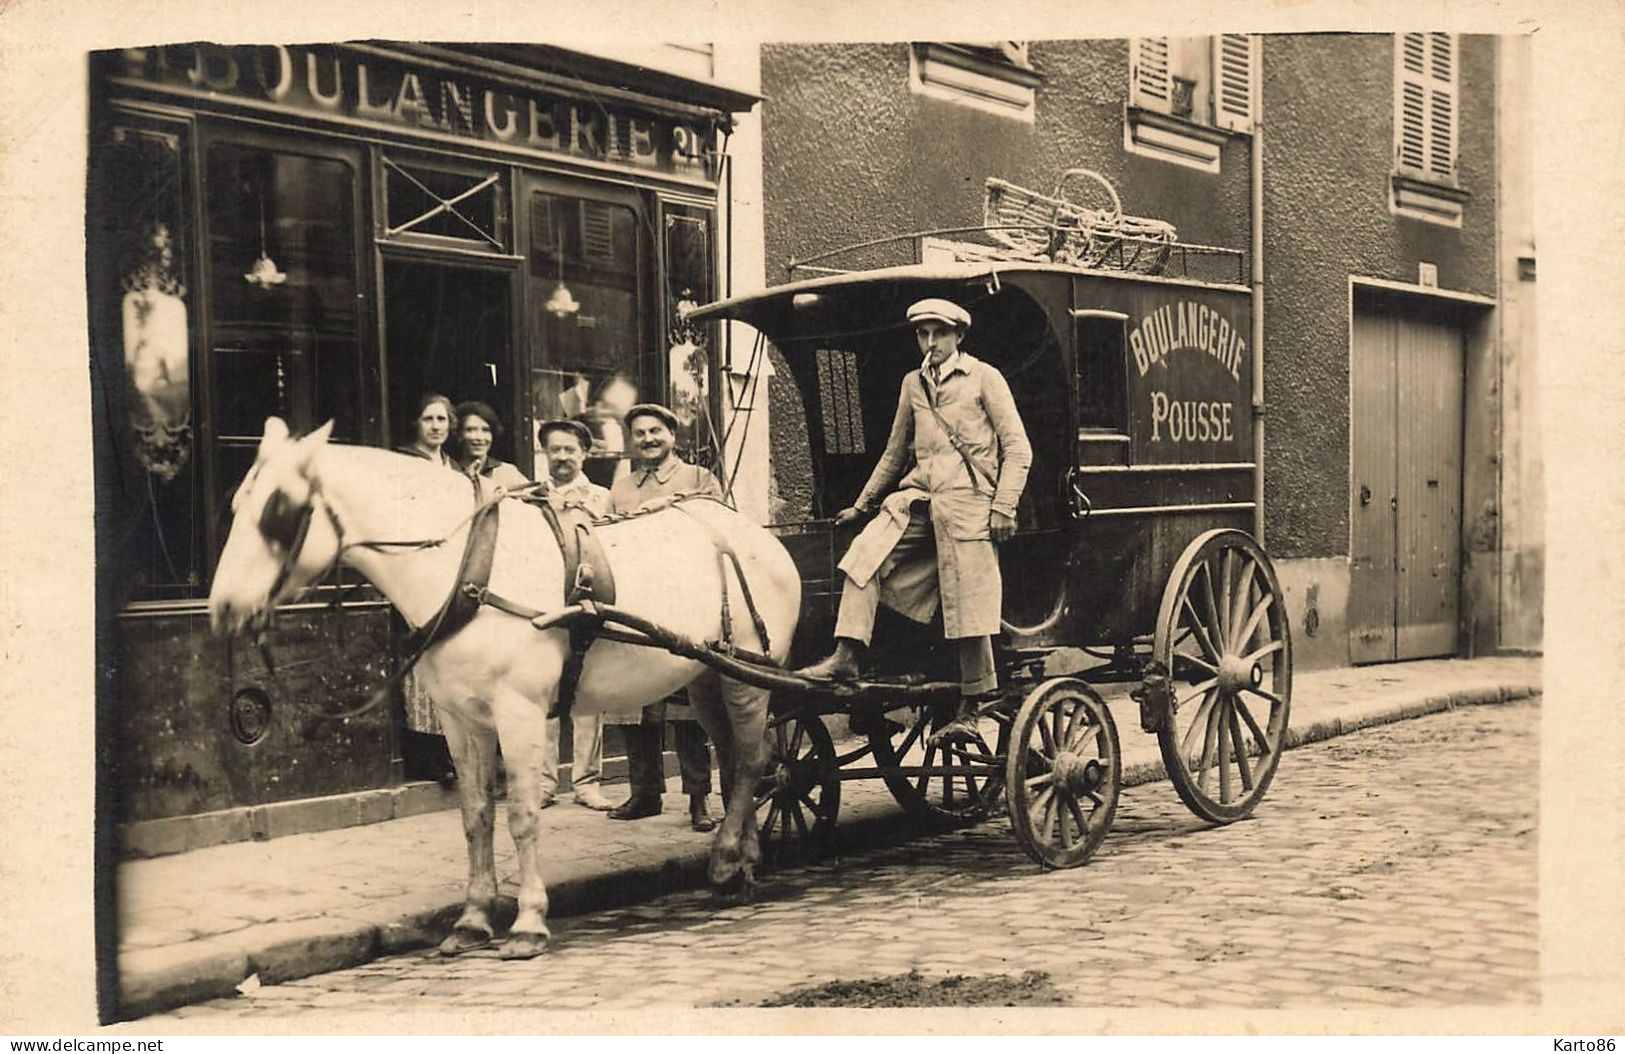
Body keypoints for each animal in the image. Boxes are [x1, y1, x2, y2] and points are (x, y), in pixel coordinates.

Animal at [209, 415, 806, 954]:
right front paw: (473, 920)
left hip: (749, 679)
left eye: (278, 511)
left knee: (753, 760)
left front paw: (528, 923)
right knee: (737, 758)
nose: (223, 609)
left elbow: (521, 814)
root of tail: (757, 536)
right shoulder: (460, 719)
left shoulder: (518, 712)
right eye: (235, 505)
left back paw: (727, 861)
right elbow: (476, 816)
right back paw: (744, 862)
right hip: (709, 675)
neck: (469, 566)